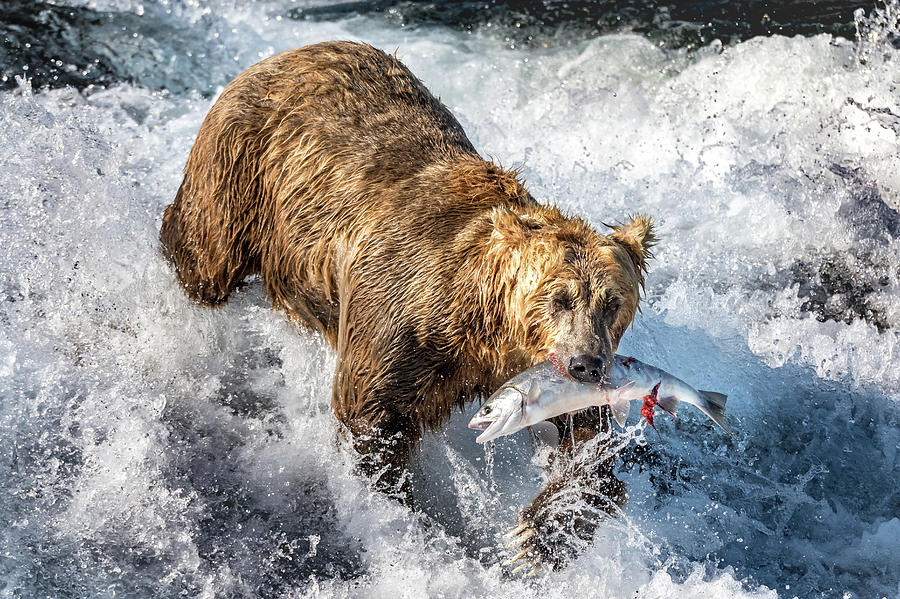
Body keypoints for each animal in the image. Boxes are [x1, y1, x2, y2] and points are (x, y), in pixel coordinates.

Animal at [160, 42, 652, 572]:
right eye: (559, 297)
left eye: (612, 303)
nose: (586, 364)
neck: (480, 327)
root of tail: (288, 52)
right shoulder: (401, 320)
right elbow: (370, 417)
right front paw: (405, 514)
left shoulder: (530, 369)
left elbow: (588, 441)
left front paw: (539, 535)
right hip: (239, 170)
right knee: (201, 253)